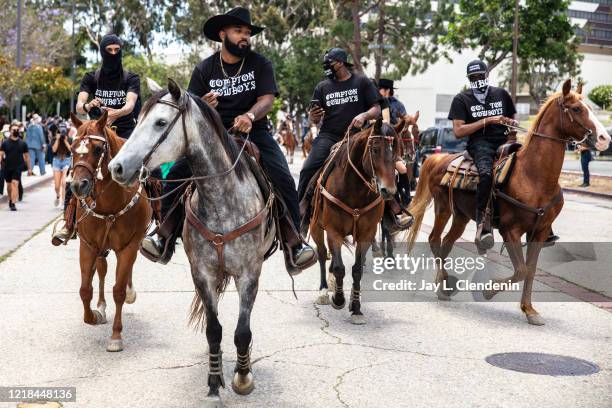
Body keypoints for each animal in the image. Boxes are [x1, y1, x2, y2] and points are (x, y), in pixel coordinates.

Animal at [68, 111, 151, 350]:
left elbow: (119, 290)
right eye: (72, 148)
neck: (109, 203)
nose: (78, 185)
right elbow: (85, 290)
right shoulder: (88, 245)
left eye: (97, 149)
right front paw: (95, 315)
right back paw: (102, 306)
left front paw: (115, 336)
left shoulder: (129, 245)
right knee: (102, 270)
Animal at [109, 78, 274, 406]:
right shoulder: (202, 274)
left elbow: (242, 331)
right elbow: (214, 330)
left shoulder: (249, 274)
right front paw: (213, 383)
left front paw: (243, 377)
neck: (221, 198)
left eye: (161, 123)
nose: (117, 168)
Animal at [310, 118, 402, 326]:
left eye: (397, 152)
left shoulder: (366, 234)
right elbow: (339, 268)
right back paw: (323, 290)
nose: (389, 191)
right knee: (322, 254)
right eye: (375, 149)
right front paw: (338, 299)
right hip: (316, 228)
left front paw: (356, 307)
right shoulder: (333, 231)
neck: (355, 190)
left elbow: (357, 269)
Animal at [406, 79, 612, 326]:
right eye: (576, 109)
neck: (533, 175)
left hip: (461, 216)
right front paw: (487, 291)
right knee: (435, 239)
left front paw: (529, 310)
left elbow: (530, 270)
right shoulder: (510, 230)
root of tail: (439, 158)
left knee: (446, 242)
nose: (605, 139)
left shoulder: (539, 232)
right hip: (443, 207)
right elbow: (521, 270)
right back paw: (444, 283)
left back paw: (443, 285)